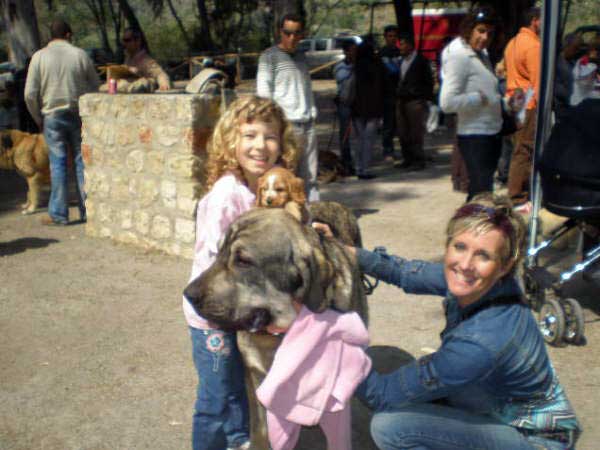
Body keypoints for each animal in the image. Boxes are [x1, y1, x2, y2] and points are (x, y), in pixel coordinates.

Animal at [185, 207, 368, 450]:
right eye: (218, 252)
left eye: (243, 261)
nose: (188, 294)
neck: (278, 336)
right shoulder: (254, 379)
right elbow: (260, 428)